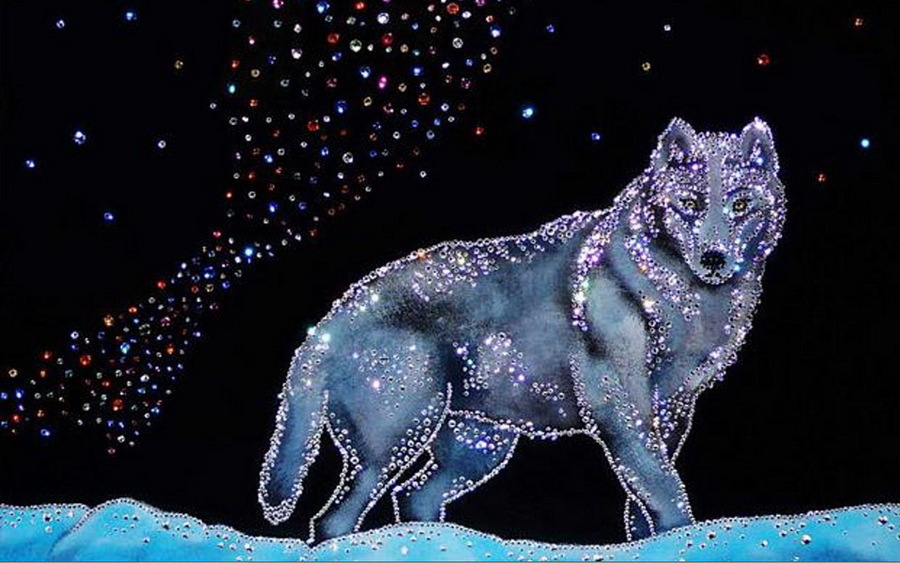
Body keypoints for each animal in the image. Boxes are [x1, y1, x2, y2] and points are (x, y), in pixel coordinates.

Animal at [257, 117, 787, 543]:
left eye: (741, 204)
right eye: (690, 203)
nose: (714, 258)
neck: (682, 301)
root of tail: (332, 318)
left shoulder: (673, 407)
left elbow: (644, 495)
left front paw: (653, 546)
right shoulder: (618, 401)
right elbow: (661, 482)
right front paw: (682, 537)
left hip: (478, 450)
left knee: (412, 498)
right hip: (394, 445)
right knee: (331, 521)